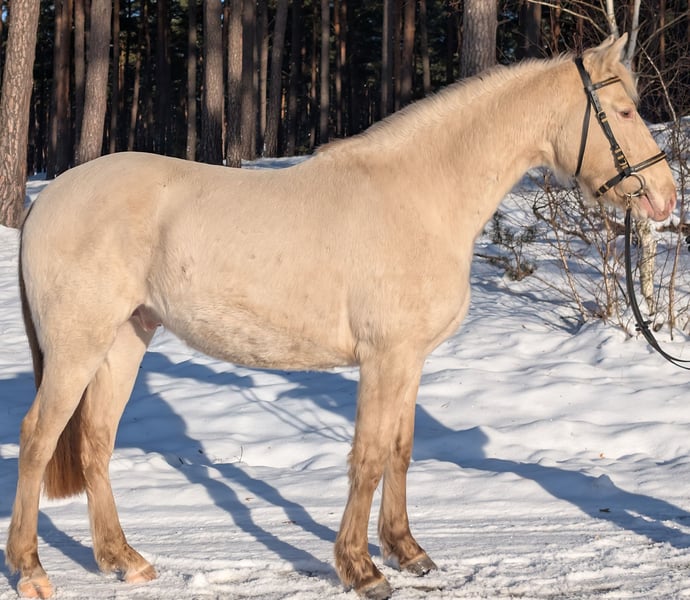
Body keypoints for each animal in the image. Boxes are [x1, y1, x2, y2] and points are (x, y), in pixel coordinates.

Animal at [6, 34, 676, 599]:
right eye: (623, 113)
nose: (665, 198)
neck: (422, 195)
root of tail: (48, 200)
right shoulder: (385, 358)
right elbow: (369, 456)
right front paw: (361, 569)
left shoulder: (410, 360)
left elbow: (401, 449)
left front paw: (408, 551)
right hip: (78, 346)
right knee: (38, 438)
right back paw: (32, 570)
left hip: (126, 337)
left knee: (95, 440)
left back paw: (124, 559)